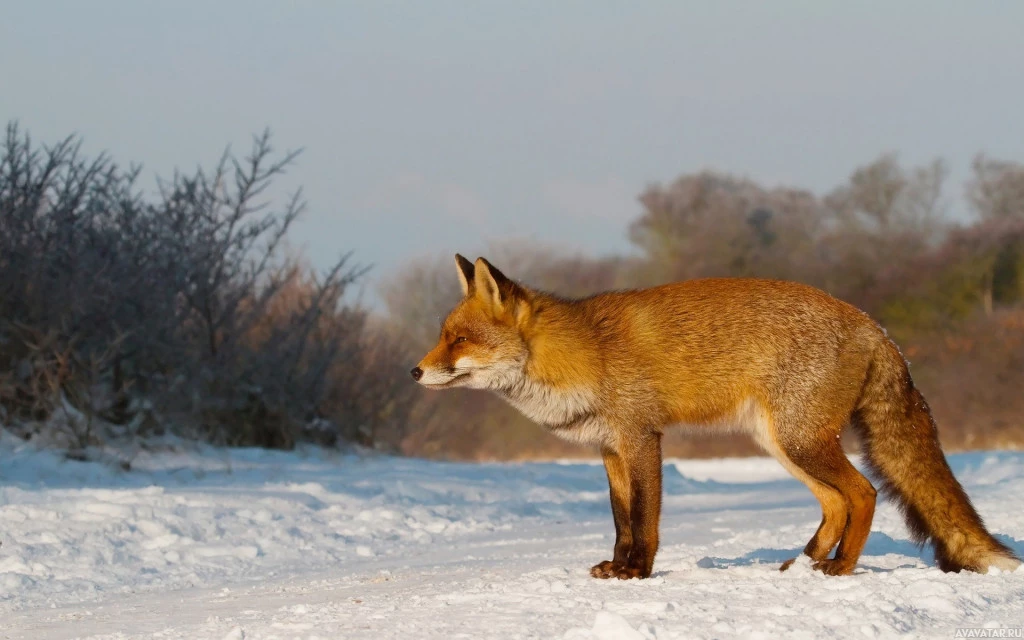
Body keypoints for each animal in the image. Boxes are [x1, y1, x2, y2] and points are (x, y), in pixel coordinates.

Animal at [411, 252, 1019, 577]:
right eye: (442, 336)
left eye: (459, 340)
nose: (414, 372)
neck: (580, 354)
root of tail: (874, 324)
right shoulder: (609, 449)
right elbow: (620, 519)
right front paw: (616, 565)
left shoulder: (641, 437)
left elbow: (645, 520)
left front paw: (637, 572)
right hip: (783, 444)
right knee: (835, 502)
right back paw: (800, 565)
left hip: (801, 442)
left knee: (863, 494)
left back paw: (838, 568)